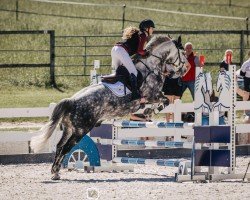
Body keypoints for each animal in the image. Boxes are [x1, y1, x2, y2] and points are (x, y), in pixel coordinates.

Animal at [30, 34, 188, 180]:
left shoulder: (152, 97)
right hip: (80, 131)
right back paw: (55, 173)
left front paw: (148, 111)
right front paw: (149, 111)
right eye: (183, 53)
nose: (185, 69)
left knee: (59, 146)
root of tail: (72, 101)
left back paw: (54, 171)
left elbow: (162, 102)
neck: (153, 65)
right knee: (65, 148)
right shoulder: (152, 95)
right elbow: (165, 101)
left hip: (69, 129)